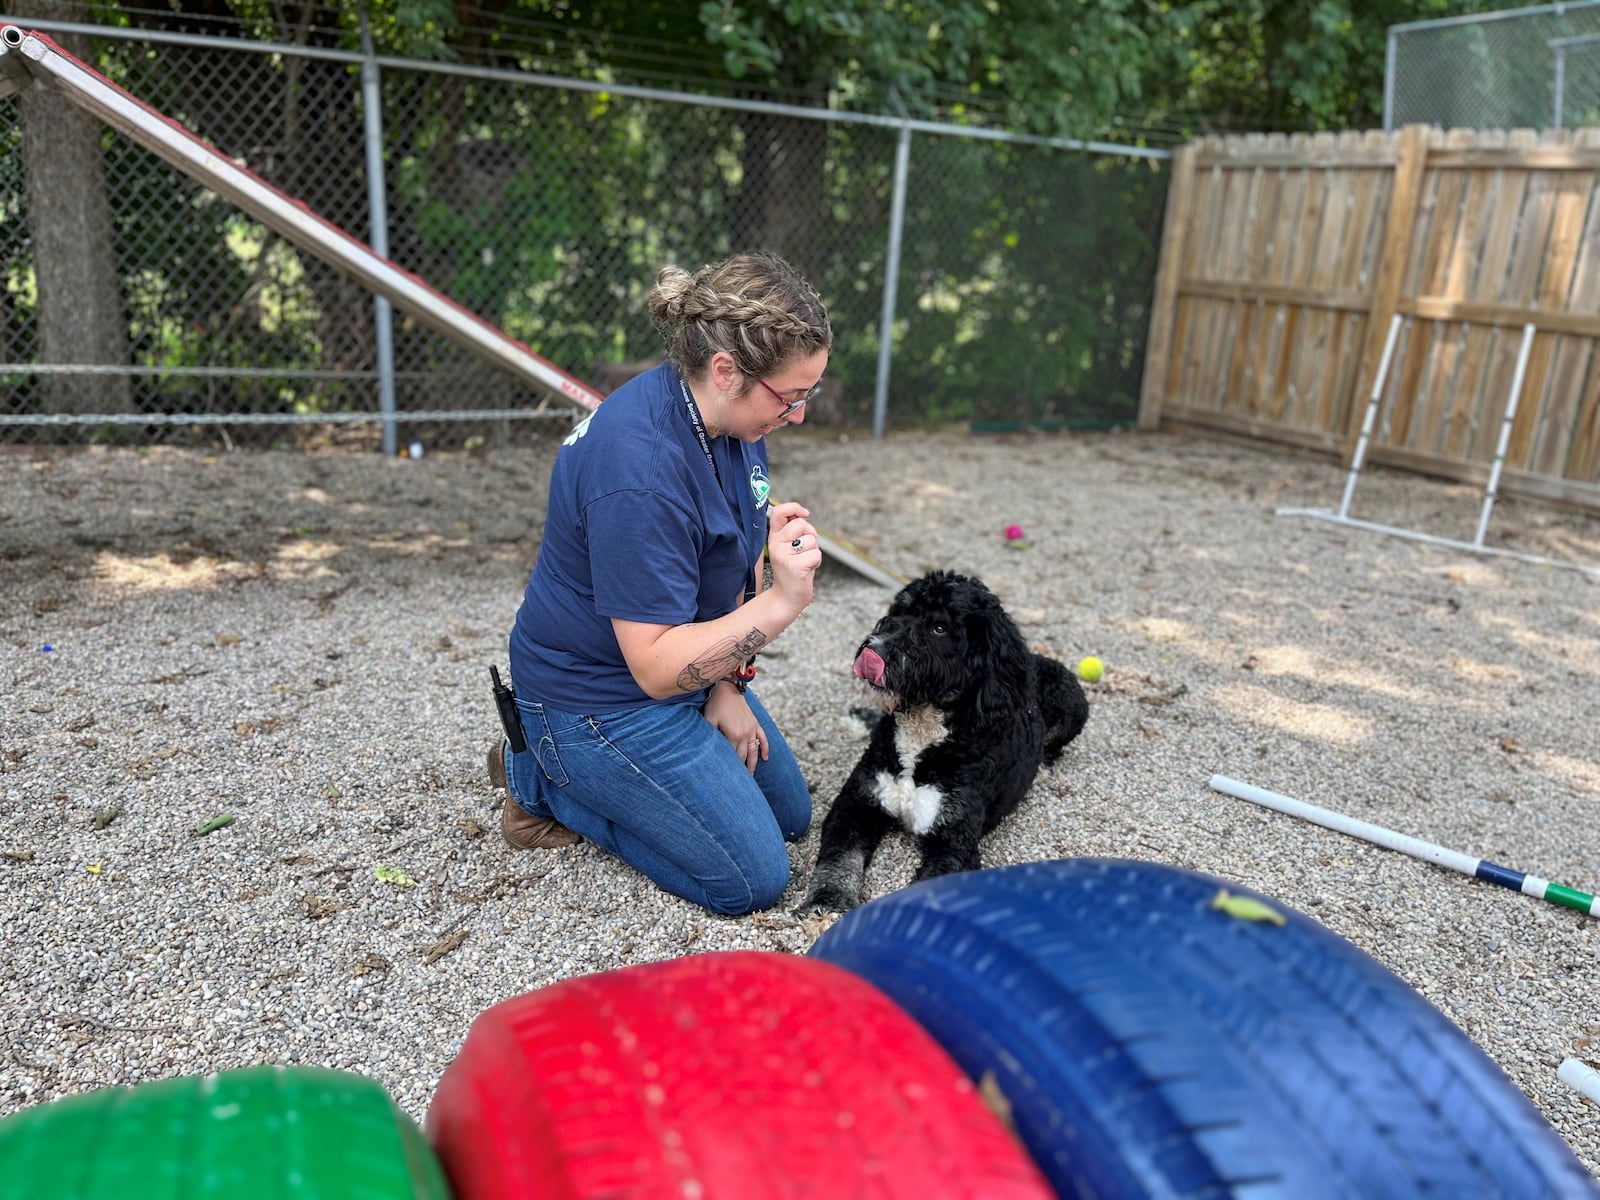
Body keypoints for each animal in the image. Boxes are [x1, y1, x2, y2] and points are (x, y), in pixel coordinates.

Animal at [800, 572, 1088, 908]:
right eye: (901, 611)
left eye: (939, 628)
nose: (873, 649)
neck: (923, 734)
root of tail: (1035, 658)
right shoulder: (856, 803)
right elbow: (839, 856)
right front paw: (827, 897)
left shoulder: (954, 840)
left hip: (1072, 703)